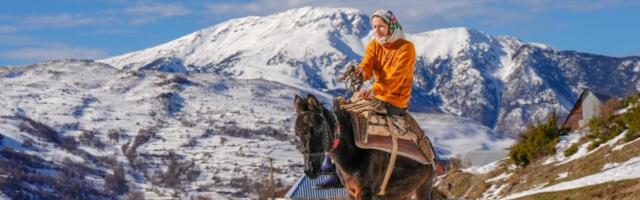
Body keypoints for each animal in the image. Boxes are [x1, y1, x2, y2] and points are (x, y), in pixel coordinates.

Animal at [294, 94, 436, 199]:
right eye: (297, 134)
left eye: (317, 130)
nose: (310, 171)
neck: (351, 152)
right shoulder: (351, 191)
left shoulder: (365, 192)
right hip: (401, 194)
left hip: (422, 188)